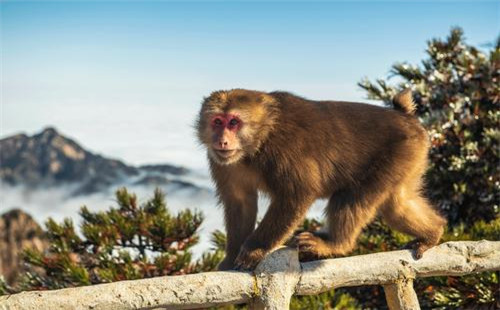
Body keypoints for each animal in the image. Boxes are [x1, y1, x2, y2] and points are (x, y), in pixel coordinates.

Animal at [195, 88, 446, 270]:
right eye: (217, 121)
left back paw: (334, 244)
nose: (222, 140)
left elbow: (297, 194)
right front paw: (230, 258)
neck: (257, 144)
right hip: (409, 159)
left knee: (352, 197)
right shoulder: (223, 163)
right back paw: (433, 233)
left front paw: (254, 250)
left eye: (233, 122)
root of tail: (404, 115)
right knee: (397, 205)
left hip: (399, 153)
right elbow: (240, 202)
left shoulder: (284, 151)